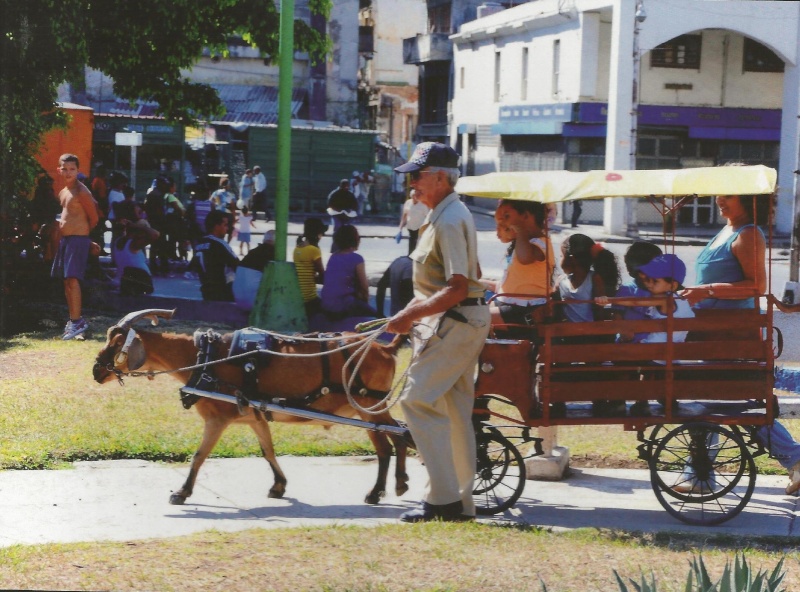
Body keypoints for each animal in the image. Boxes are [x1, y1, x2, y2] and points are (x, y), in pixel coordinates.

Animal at [92, 308, 412, 506]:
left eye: (116, 343)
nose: (96, 371)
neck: (206, 357)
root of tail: (385, 348)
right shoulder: (255, 416)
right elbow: (267, 450)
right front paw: (279, 486)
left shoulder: (217, 419)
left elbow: (199, 455)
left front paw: (181, 492)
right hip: (371, 408)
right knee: (398, 437)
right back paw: (398, 483)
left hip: (369, 406)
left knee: (390, 443)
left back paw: (378, 491)